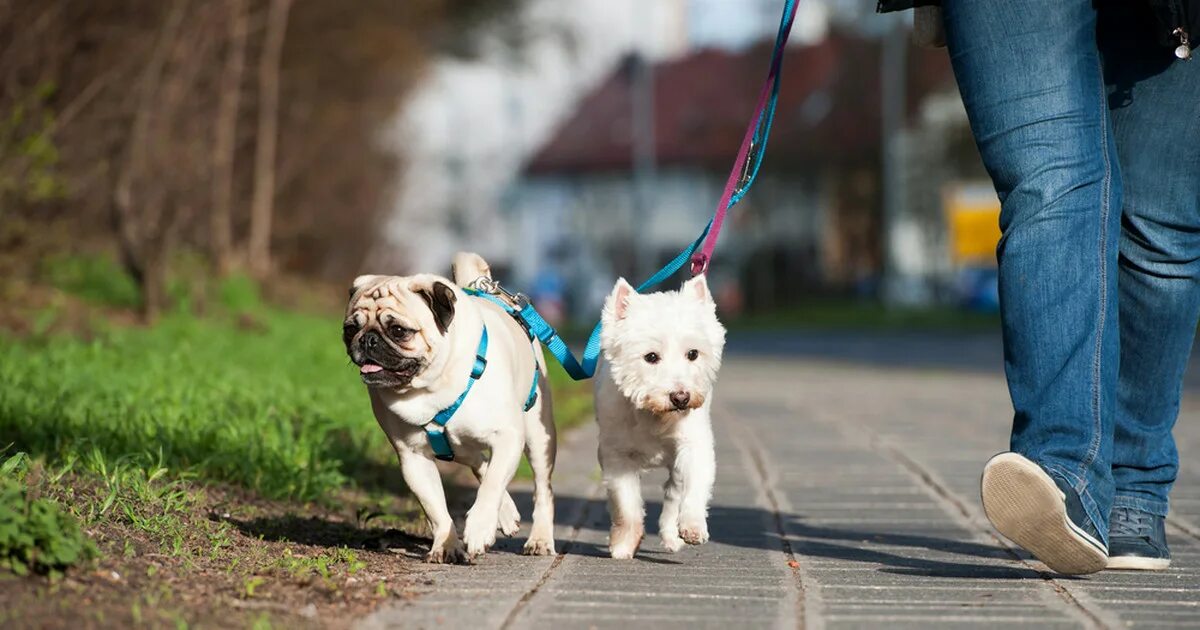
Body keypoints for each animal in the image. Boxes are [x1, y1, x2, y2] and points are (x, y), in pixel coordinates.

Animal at [595, 272, 724, 556]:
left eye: (693, 353)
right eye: (651, 357)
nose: (681, 397)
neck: (655, 415)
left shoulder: (693, 444)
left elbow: (695, 485)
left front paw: (693, 527)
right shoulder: (617, 456)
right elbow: (627, 505)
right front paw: (623, 544)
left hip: (676, 463)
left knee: (673, 493)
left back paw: (672, 536)